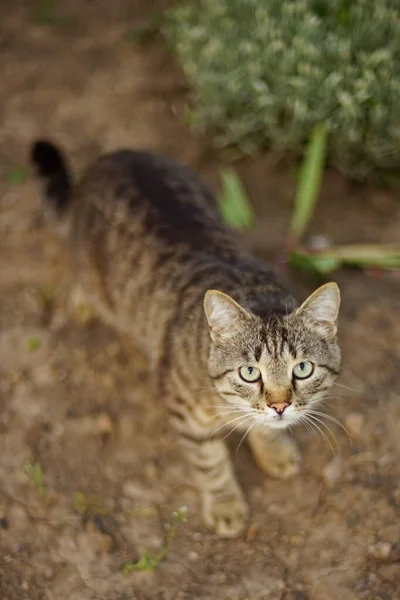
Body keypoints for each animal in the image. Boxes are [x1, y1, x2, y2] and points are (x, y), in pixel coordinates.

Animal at [31, 141, 340, 540]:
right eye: (249, 373)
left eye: (302, 369)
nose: (280, 406)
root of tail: (112, 159)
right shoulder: (182, 410)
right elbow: (210, 462)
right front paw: (225, 505)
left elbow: (264, 432)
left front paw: (274, 450)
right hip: (89, 271)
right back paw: (82, 303)